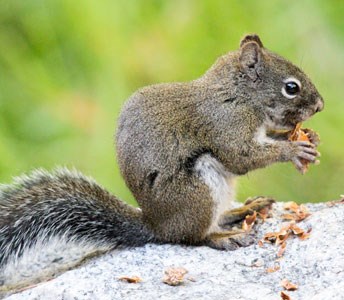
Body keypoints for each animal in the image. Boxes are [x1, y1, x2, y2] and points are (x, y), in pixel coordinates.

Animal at [0, 33, 324, 292]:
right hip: (198, 191)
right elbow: (241, 157)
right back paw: (222, 237)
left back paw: (243, 210)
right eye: (291, 87)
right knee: (192, 236)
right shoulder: (226, 125)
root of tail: (156, 226)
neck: (237, 94)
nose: (320, 105)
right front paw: (293, 150)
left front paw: (306, 138)